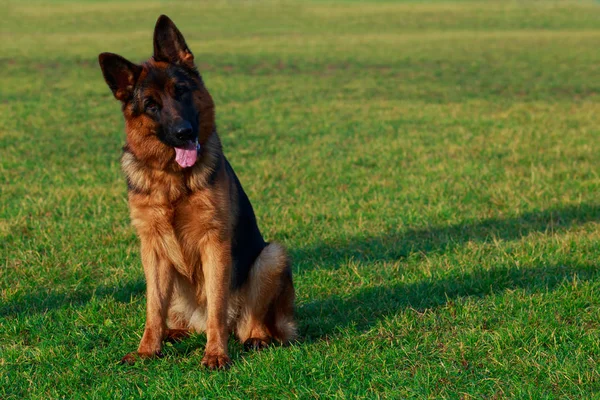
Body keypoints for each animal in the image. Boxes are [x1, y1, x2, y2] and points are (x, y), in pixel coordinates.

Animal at [98, 15, 298, 368]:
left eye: (181, 92)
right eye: (151, 105)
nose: (184, 133)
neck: (172, 179)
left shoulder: (214, 243)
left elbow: (217, 306)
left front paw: (215, 354)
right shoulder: (152, 249)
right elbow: (153, 308)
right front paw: (147, 350)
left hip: (270, 257)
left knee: (247, 321)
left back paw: (257, 337)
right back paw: (175, 332)